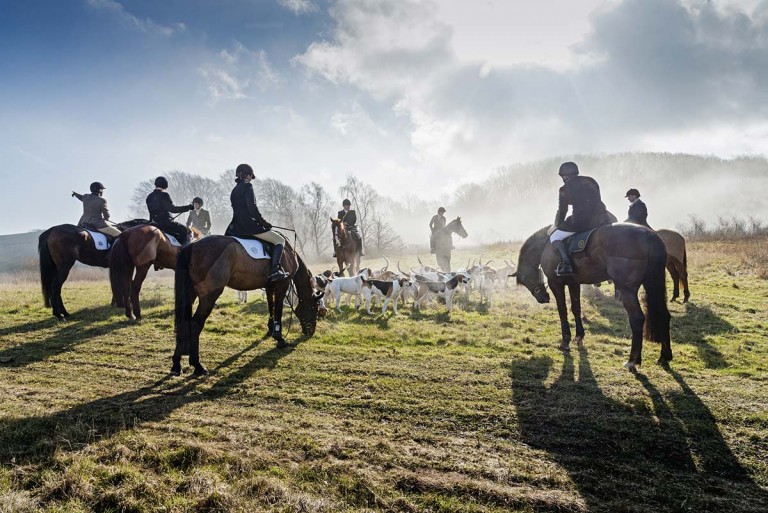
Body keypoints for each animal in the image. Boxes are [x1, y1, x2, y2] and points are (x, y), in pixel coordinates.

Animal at [171, 236, 320, 376]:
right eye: (315, 308)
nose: (311, 331)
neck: (288, 252)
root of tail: (193, 245)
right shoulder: (282, 284)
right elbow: (278, 309)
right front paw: (279, 338)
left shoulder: (269, 286)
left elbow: (270, 306)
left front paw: (270, 329)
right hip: (209, 295)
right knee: (195, 324)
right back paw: (197, 365)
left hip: (191, 293)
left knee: (184, 322)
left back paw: (176, 364)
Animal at [516, 224, 672, 368]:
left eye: (524, 279)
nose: (542, 298)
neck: (546, 245)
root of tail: (648, 234)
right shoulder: (573, 283)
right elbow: (576, 308)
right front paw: (579, 336)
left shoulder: (556, 283)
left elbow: (562, 311)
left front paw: (565, 341)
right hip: (650, 284)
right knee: (664, 316)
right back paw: (664, 357)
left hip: (626, 290)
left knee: (637, 318)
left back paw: (632, 360)